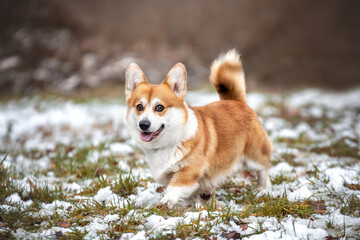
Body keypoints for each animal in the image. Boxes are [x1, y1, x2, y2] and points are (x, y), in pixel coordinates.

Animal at [125, 49, 272, 207]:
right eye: (139, 107)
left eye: (159, 107)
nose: (143, 124)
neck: (170, 142)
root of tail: (237, 102)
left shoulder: (188, 171)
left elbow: (174, 186)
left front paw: (165, 201)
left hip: (254, 157)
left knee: (263, 170)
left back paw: (263, 190)